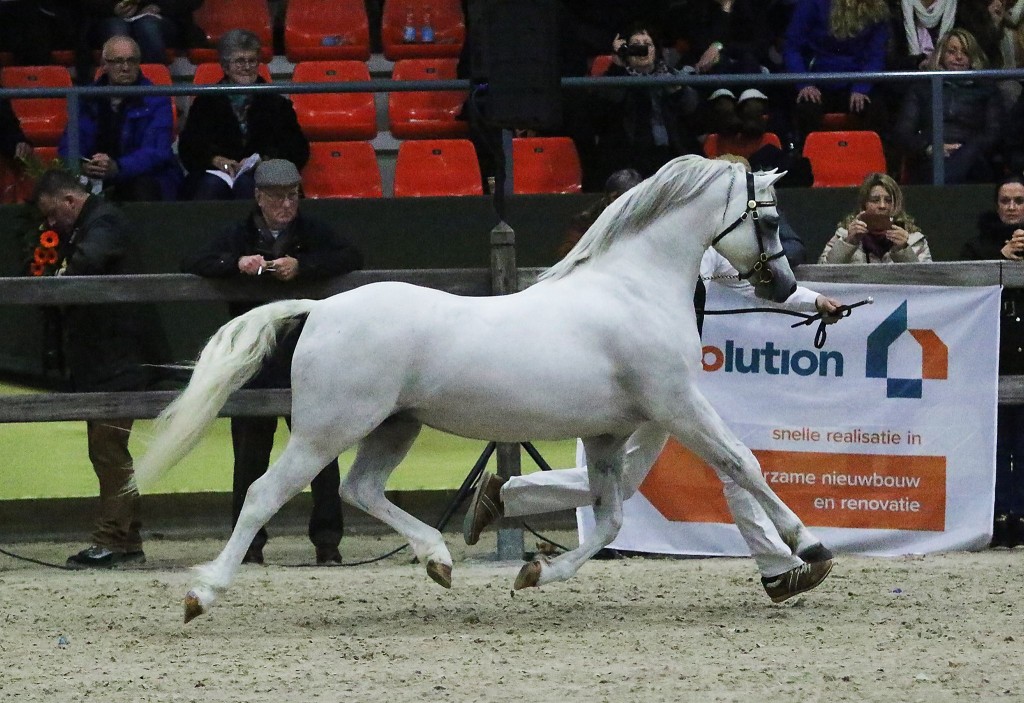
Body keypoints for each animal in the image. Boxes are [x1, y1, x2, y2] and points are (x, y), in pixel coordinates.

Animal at [134, 153, 831, 622]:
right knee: (263, 495)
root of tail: (322, 308)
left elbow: (608, 519)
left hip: (394, 426)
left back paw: (440, 558)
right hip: (327, 430)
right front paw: (811, 549)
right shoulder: (678, 405)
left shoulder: (609, 431)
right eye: (770, 222)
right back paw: (202, 594)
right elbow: (742, 464)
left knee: (362, 488)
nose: (781, 286)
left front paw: (534, 572)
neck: (634, 288)